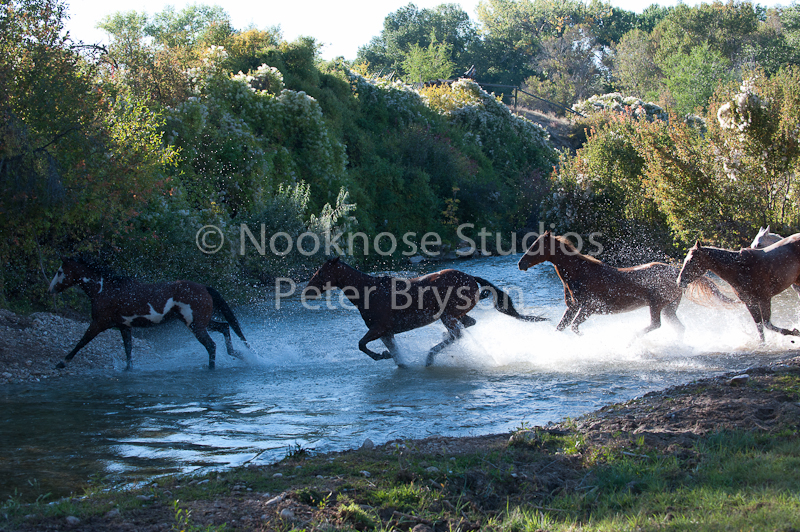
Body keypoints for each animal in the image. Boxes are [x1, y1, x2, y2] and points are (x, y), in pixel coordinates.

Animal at [48, 257, 250, 370]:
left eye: (59, 271)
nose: (50, 289)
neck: (104, 289)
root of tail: (204, 288)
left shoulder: (99, 323)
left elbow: (81, 342)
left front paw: (62, 363)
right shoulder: (124, 327)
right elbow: (128, 350)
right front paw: (128, 369)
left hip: (196, 325)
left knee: (211, 345)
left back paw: (213, 368)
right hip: (200, 322)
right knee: (225, 327)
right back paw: (237, 354)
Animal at [303, 257, 545, 366]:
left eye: (321, 272)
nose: (307, 291)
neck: (367, 292)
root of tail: (471, 278)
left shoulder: (379, 329)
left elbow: (361, 344)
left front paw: (381, 355)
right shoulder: (386, 333)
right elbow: (396, 357)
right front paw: (390, 357)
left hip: (447, 315)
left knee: (458, 333)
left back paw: (430, 356)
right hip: (454, 314)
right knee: (467, 325)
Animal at [518, 231, 734, 336]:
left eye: (536, 246)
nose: (521, 264)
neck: (580, 273)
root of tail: (676, 272)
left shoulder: (589, 308)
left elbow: (575, 329)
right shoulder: (573, 308)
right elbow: (561, 328)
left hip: (656, 305)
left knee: (655, 325)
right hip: (669, 308)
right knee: (678, 328)